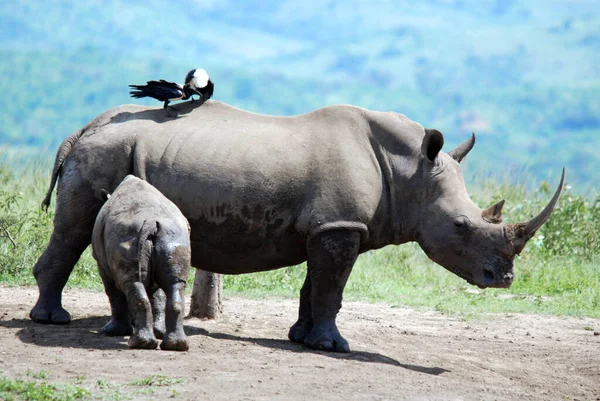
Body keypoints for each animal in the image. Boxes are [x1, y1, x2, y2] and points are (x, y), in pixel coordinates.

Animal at [92, 175, 191, 350]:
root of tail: (151, 222)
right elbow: (158, 296)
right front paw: (158, 331)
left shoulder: (102, 265)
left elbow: (113, 294)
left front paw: (112, 332)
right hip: (173, 235)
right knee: (175, 283)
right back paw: (176, 345)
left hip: (125, 235)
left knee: (131, 283)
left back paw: (139, 343)